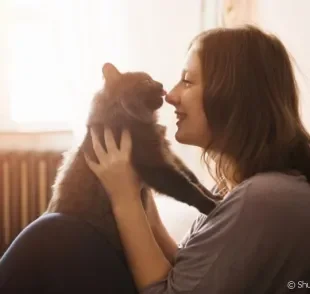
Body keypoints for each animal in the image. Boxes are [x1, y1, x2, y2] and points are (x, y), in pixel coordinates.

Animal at [45, 62, 220, 255]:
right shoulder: (155, 165)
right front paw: (211, 206)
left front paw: (215, 195)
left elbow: (192, 178)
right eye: (146, 81)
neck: (129, 119)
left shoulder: (167, 153)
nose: (160, 84)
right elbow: (187, 188)